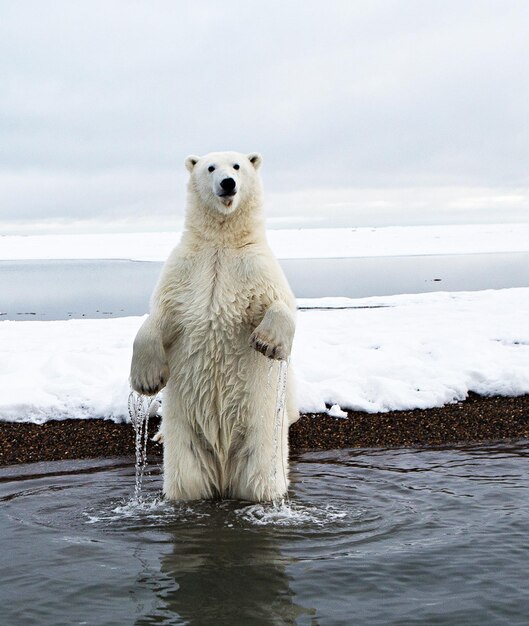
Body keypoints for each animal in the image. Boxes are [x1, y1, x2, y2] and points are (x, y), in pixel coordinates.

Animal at [129, 151, 296, 502]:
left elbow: (281, 303)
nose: (228, 183)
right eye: (210, 168)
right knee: (187, 482)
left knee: (262, 482)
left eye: (237, 166)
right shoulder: (185, 269)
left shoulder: (254, 267)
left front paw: (268, 343)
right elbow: (159, 316)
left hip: (261, 445)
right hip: (187, 447)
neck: (221, 243)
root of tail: (223, 474)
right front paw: (147, 379)